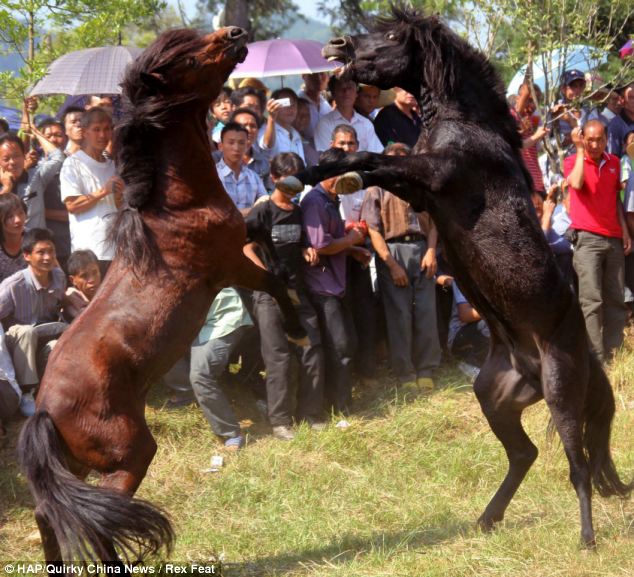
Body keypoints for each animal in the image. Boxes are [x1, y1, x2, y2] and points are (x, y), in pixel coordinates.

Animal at [18, 27, 304, 564]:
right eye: (188, 60)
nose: (236, 34)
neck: (177, 205)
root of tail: (44, 407)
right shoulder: (228, 265)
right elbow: (274, 281)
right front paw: (298, 330)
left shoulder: (239, 242)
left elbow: (263, 233)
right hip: (129, 453)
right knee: (97, 517)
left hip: (78, 466)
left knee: (53, 513)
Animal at [282, 6, 632, 544]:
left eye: (390, 35)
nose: (335, 46)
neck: (467, 126)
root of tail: (537, 367)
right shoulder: (418, 189)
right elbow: (371, 163)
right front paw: (305, 175)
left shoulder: (433, 176)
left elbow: (374, 160)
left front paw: (330, 172)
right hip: (493, 397)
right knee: (526, 453)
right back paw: (487, 519)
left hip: (561, 392)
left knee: (577, 465)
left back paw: (586, 539)